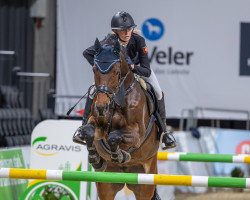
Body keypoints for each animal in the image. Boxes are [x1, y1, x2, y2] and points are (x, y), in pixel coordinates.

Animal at [77, 38, 159, 198]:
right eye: (94, 70)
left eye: (116, 72)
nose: (101, 107)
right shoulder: (97, 125)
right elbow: (89, 132)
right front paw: (96, 159)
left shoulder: (137, 135)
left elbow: (114, 136)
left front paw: (120, 155)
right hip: (106, 186)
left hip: (145, 184)